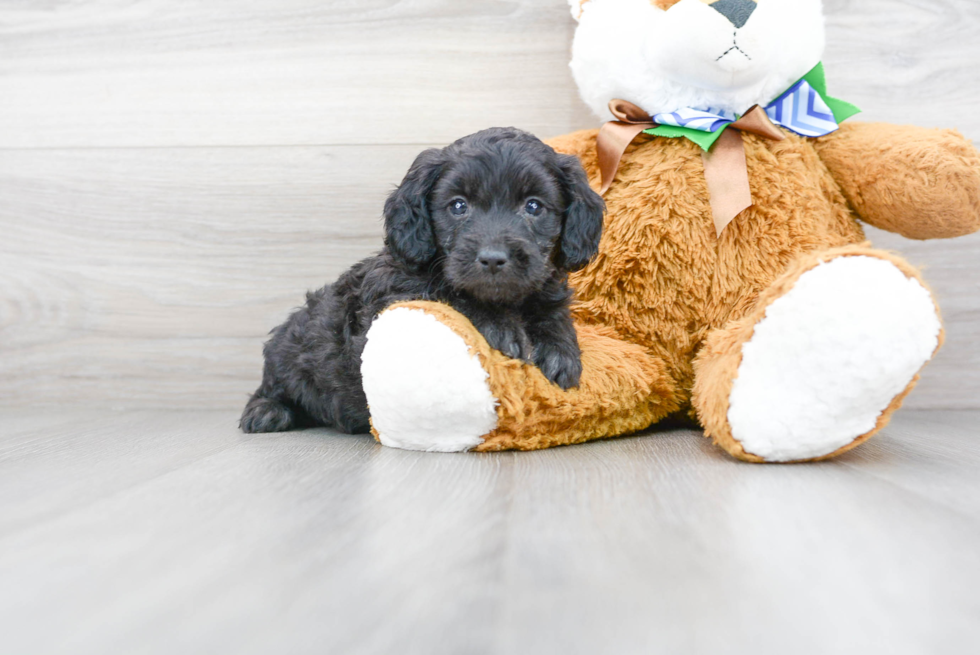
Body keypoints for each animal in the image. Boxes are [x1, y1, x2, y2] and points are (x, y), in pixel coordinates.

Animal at [239, 127, 604, 436]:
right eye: (458, 205)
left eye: (534, 206)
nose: (492, 258)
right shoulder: (394, 290)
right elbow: (447, 292)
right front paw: (501, 326)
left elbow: (552, 313)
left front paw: (559, 350)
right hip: (287, 350)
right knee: (271, 385)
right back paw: (266, 411)